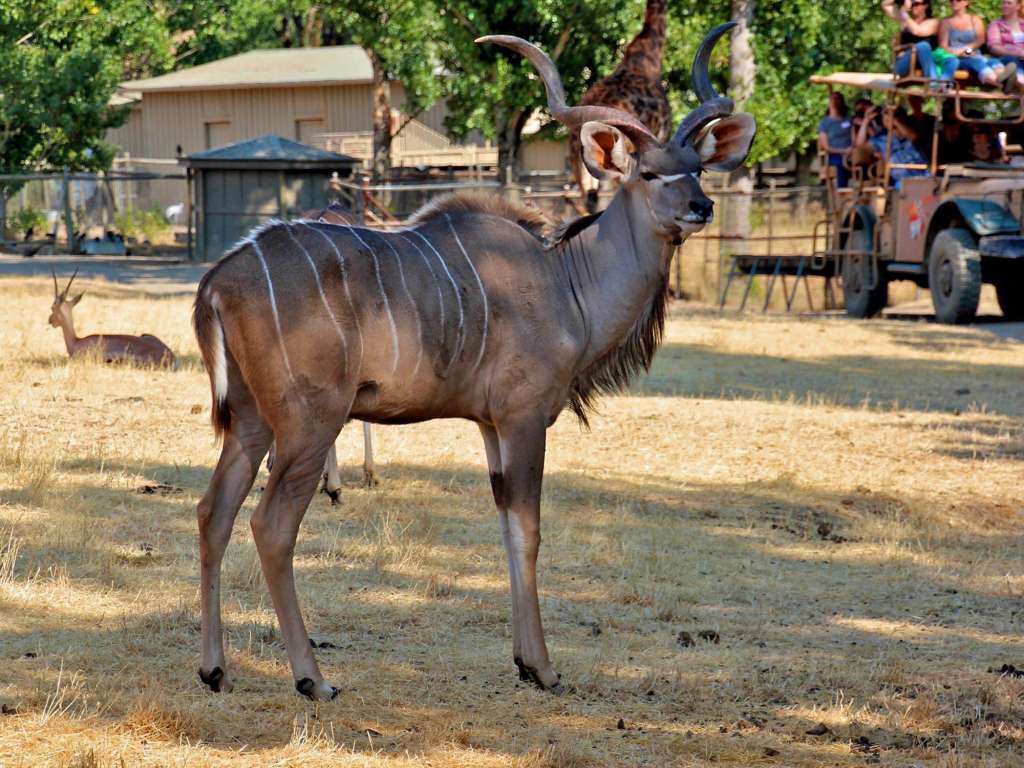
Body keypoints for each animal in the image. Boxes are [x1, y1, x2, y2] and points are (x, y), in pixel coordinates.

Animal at [190, 22, 753, 704]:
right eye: (648, 172)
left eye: (696, 168)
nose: (701, 208)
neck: (566, 280)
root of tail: (220, 279)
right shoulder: (523, 417)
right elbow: (530, 529)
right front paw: (544, 668)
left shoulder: (488, 425)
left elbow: (507, 524)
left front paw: (523, 661)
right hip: (308, 422)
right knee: (271, 526)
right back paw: (312, 679)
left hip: (251, 420)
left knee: (213, 514)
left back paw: (214, 669)